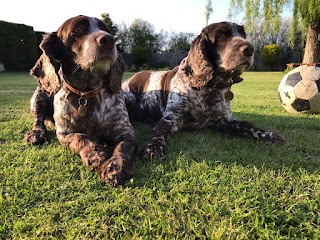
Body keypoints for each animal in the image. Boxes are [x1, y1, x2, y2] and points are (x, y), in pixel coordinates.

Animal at [24, 15, 135, 186]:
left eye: (106, 30)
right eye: (77, 29)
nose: (109, 40)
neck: (86, 92)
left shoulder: (126, 131)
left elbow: (122, 147)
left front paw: (114, 167)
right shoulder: (64, 134)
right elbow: (81, 138)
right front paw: (94, 154)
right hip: (39, 96)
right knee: (38, 119)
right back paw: (36, 133)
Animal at [122, 21, 284, 160]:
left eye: (243, 34)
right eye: (221, 35)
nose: (250, 49)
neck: (209, 87)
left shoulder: (222, 120)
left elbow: (246, 126)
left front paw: (268, 135)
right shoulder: (171, 118)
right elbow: (159, 132)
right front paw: (153, 148)